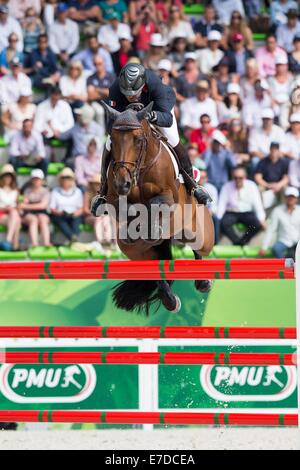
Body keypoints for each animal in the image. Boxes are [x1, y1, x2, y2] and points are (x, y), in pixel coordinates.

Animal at [102, 102, 214, 316]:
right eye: (113, 140)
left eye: (138, 140)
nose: (123, 183)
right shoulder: (114, 199)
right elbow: (127, 209)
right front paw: (139, 229)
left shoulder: (168, 196)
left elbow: (154, 204)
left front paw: (151, 228)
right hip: (138, 253)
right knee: (157, 266)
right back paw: (169, 299)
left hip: (199, 235)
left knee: (198, 249)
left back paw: (202, 282)